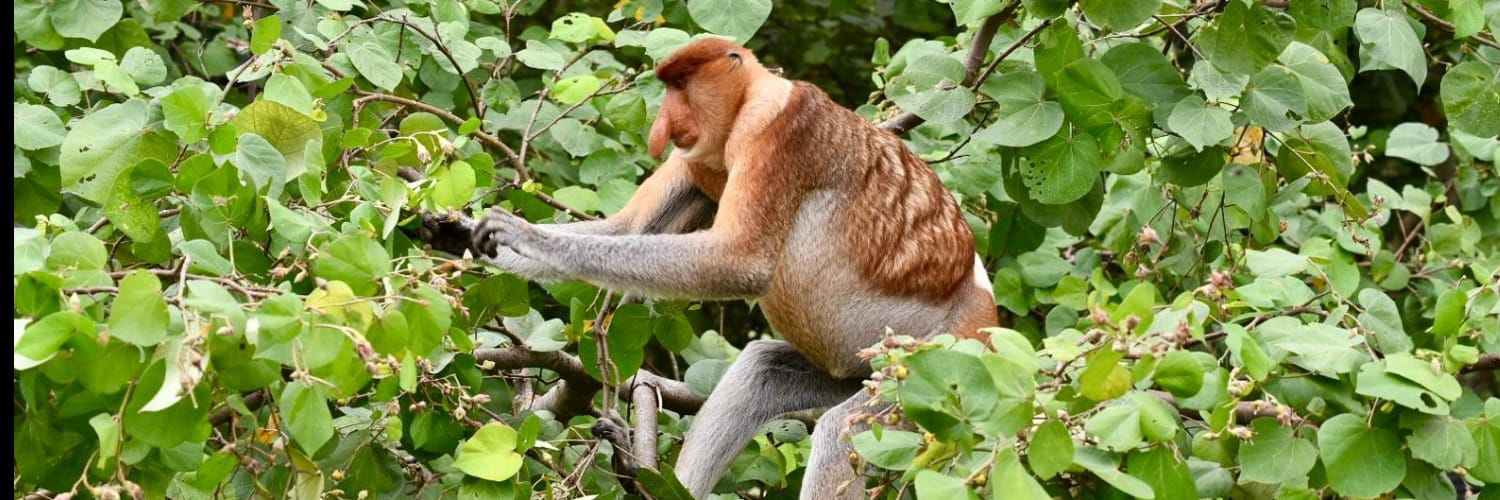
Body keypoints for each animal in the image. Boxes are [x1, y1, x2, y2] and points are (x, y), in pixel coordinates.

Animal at [467, 38, 998, 499]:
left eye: (682, 84)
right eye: (668, 86)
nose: (662, 127)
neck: (748, 101)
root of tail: (989, 320)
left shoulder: (780, 133)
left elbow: (739, 262)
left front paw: (520, 234)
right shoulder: (697, 160)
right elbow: (626, 228)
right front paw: (454, 232)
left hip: (936, 362)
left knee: (840, 436)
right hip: (855, 368)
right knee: (759, 371)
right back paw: (643, 476)